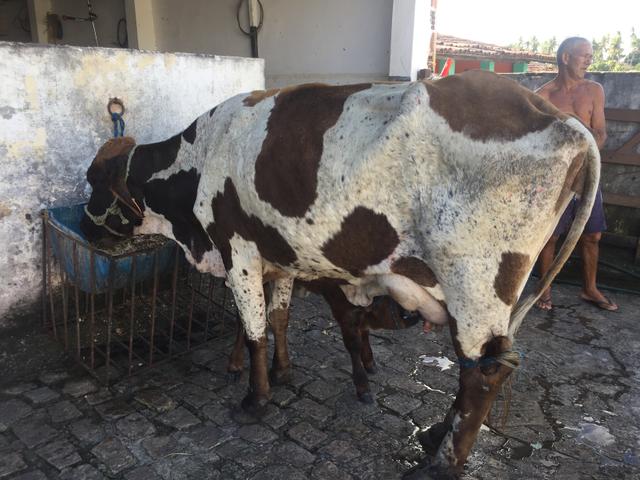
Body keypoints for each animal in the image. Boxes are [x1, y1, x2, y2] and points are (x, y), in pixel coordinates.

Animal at [81, 70, 599, 477]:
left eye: (92, 180)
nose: (85, 222)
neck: (201, 158)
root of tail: (560, 117)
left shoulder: (238, 250)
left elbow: (253, 329)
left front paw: (256, 398)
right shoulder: (280, 255)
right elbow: (279, 318)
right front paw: (283, 372)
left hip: (475, 286)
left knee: (484, 374)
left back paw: (440, 465)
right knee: (485, 366)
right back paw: (436, 436)